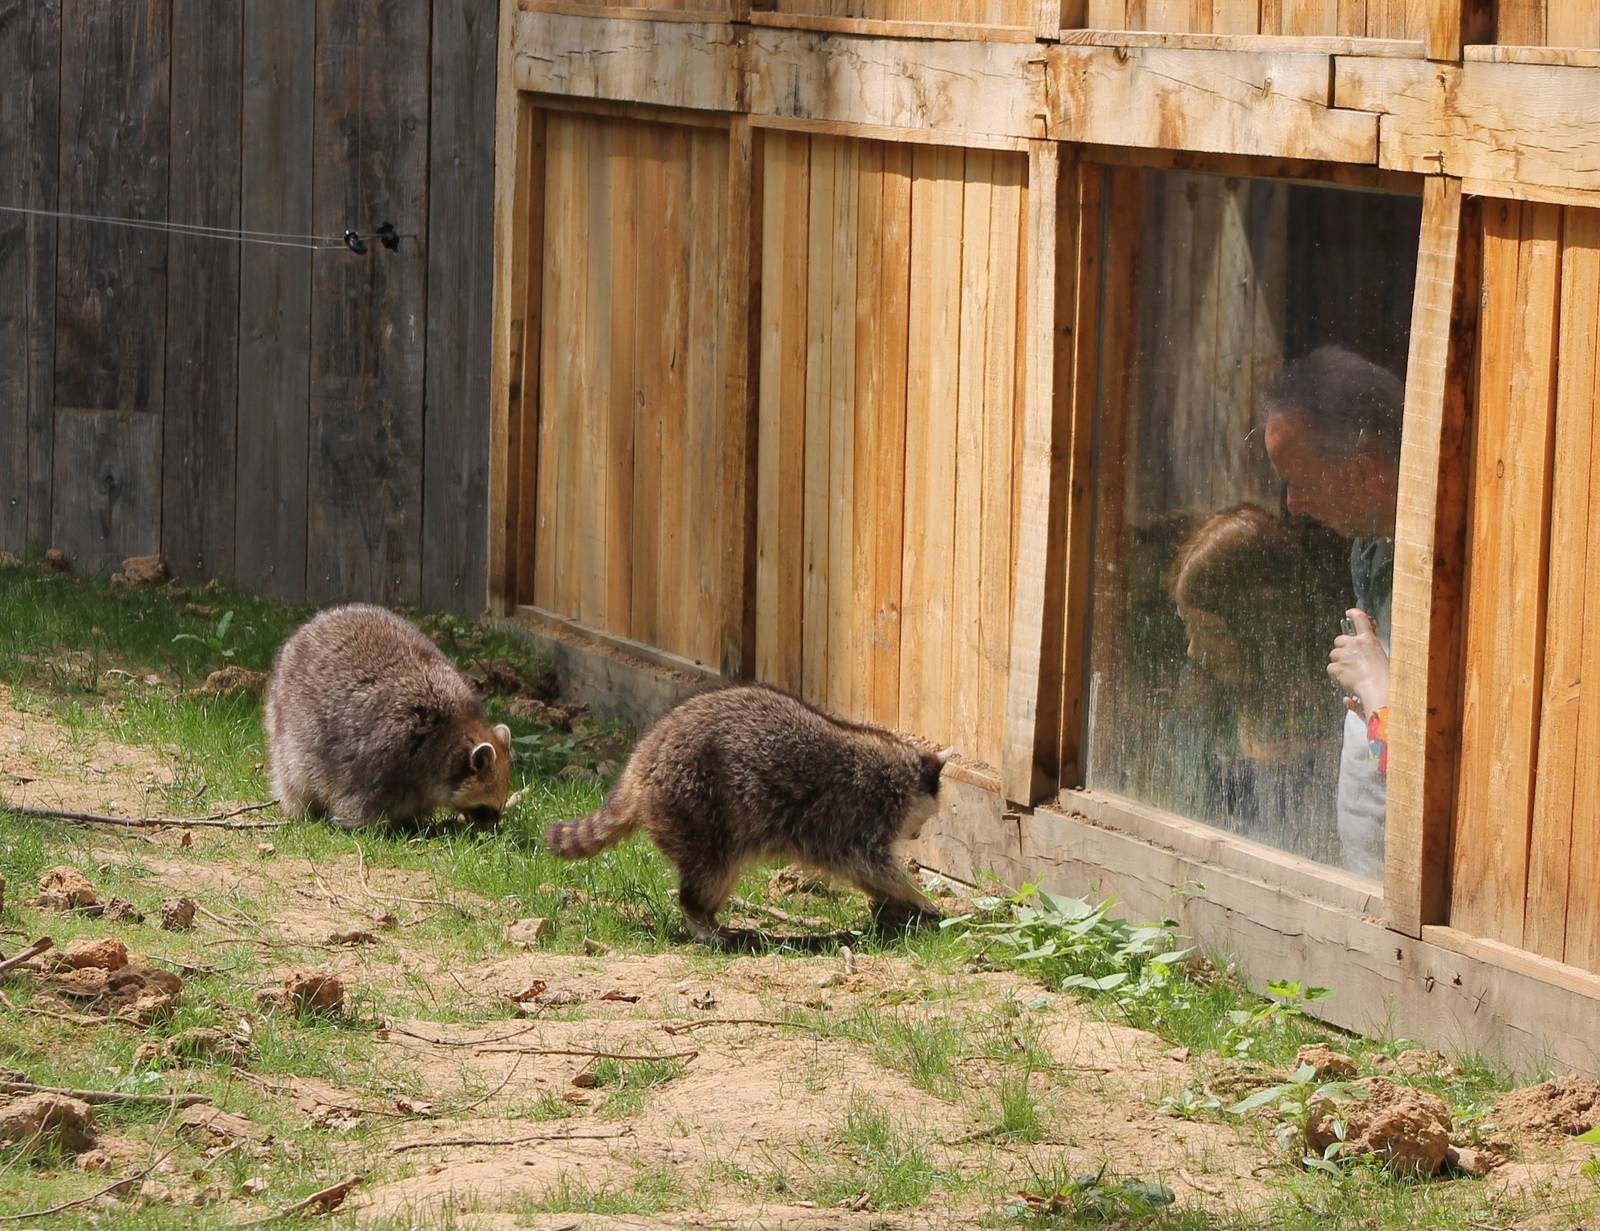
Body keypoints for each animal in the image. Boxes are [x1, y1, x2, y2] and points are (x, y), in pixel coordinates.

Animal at [264, 604, 512, 828]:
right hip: (289, 722)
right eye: (488, 810)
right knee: (292, 771)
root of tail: (313, 623)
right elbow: (359, 803)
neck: (452, 733)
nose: (492, 834)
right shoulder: (383, 761)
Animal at [543, 684, 951, 942]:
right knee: (711, 871)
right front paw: (913, 894)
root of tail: (640, 762)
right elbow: (867, 863)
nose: (916, 835)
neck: (898, 771)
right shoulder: (855, 811)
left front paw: (893, 903)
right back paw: (698, 916)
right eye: (925, 819)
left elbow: (862, 872)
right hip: (694, 803)